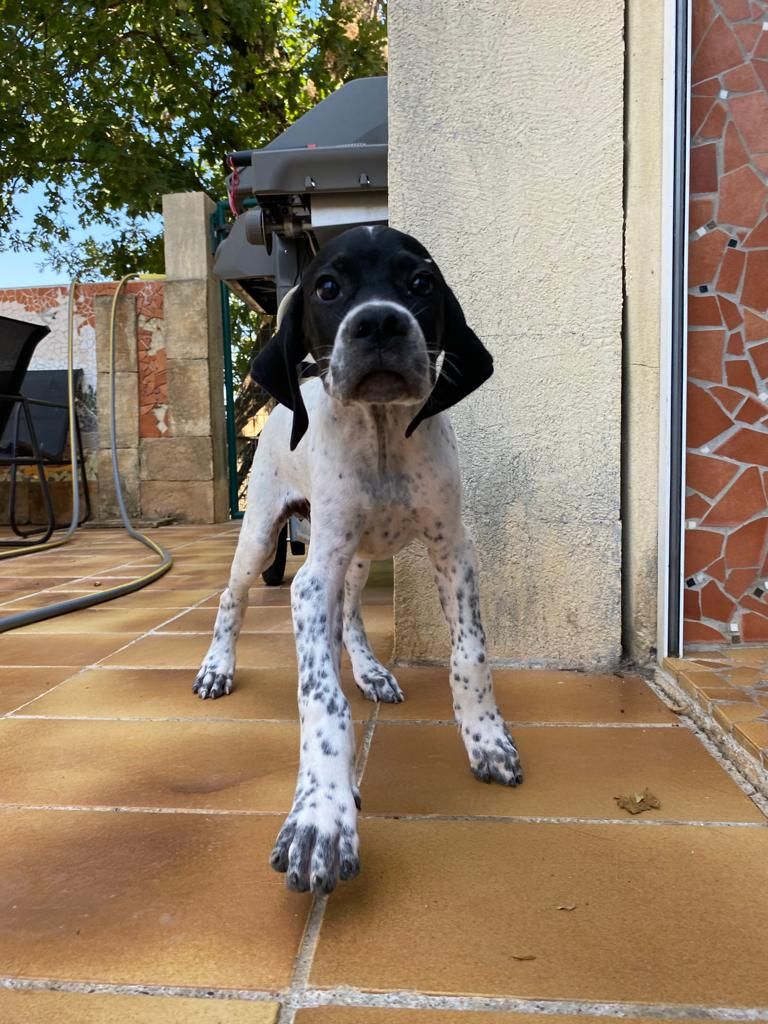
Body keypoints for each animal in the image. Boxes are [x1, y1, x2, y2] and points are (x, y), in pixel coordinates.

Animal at [193, 225, 523, 893]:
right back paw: (217, 667)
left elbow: (470, 656)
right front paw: (322, 814)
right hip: (263, 534)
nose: (379, 324)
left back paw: (372, 671)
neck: (381, 433)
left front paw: (486, 738)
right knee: (232, 598)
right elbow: (322, 702)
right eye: (327, 287)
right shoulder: (311, 580)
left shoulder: (453, 551)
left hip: (362, 556)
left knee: (350, 616)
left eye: (421, 283)